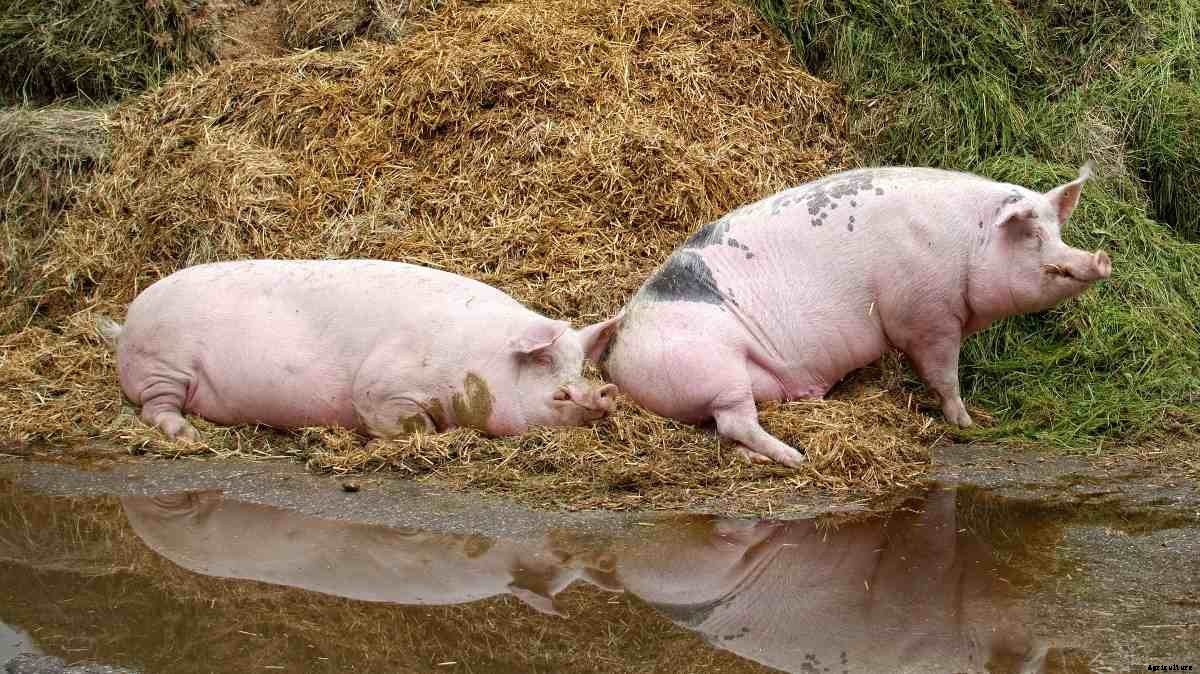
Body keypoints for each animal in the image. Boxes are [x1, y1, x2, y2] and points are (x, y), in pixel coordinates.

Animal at [103, 260, 617, 441]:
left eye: (580, 366)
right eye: (546, 366)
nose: (603, 393)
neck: (477, 361)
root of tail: (126, 323)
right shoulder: (382, 387)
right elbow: (408, 425)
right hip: (164, 364)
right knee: (154, 408)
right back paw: (187, 436)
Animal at [586, 165, 1112, 466]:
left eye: (1057, 231)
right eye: (1032, 235)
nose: (1101, 257)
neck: (967, 240)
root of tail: (617, 346)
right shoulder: (926, 314)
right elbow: (943, 375)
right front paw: (967, 423)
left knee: (723, 431)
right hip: (716, 368)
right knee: (735, 421)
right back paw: (795, 458)